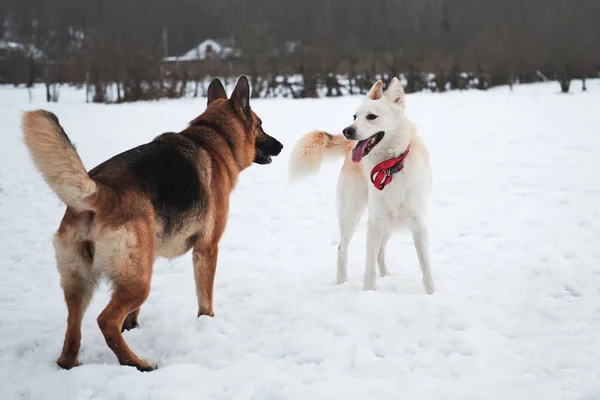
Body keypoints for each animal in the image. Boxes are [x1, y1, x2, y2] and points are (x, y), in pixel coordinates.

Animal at [22, 76, 284, 372]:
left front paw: (133, 326)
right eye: (260, 125)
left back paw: (74, 362)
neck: (216, 138)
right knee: (105, 320)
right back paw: (136, 362)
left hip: (85, 283)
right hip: (137, 282)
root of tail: (102, 192)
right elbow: (205, 299)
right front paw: (206, 324)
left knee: (72, 333)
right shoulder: (207, 249)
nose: (281, 146)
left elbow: (132, 315)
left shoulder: (152, 254)